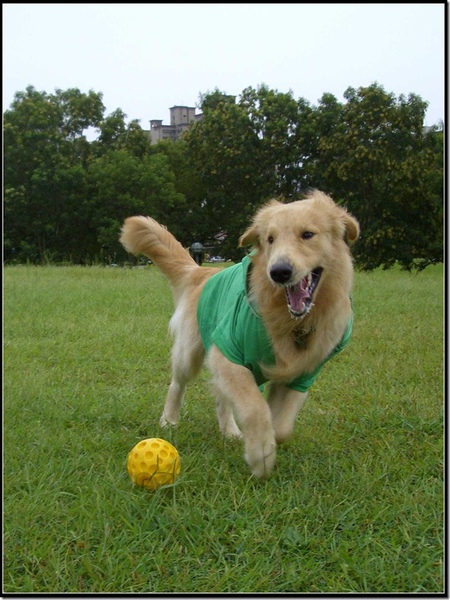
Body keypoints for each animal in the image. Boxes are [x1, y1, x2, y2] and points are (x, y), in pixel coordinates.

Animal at [118, 190, 358, 480]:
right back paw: (169, 420)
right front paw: (260, 456)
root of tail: (202, 271)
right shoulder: (227, 352)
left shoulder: (303, 374)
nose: (279, 272)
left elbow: (282, 426)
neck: (289, 320)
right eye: (270, 239)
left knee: (222, 398)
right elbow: (256, 410)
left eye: (308, 234)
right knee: (177, 384)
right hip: (191, 353)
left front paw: (267, 440)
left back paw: (230, 431)